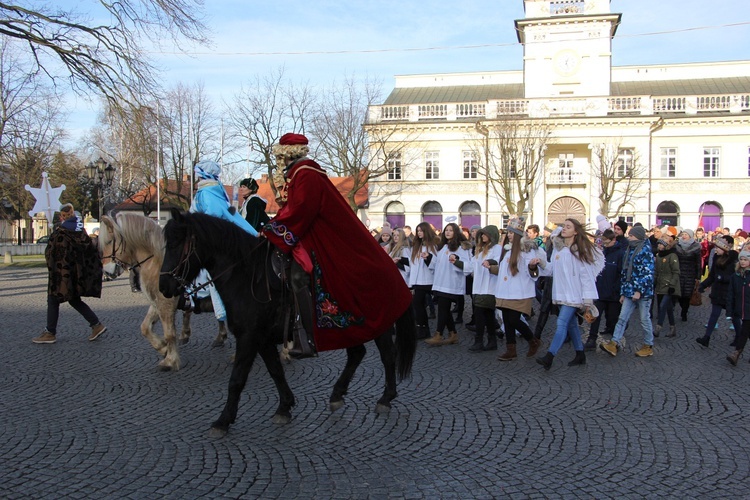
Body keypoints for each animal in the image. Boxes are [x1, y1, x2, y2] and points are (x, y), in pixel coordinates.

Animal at [160, 209, 418, 436]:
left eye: (175, 244)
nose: (164, 287)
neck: (247, 275)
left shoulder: (248, 337)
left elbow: (237, 379)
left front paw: (223, 420)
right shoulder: (261, 338)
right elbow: (275, 370)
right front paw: (284, 406)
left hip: (378, 324)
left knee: (387, 355)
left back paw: (385, 398)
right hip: (350, 328)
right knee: (357, 354)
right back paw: (337, 394)